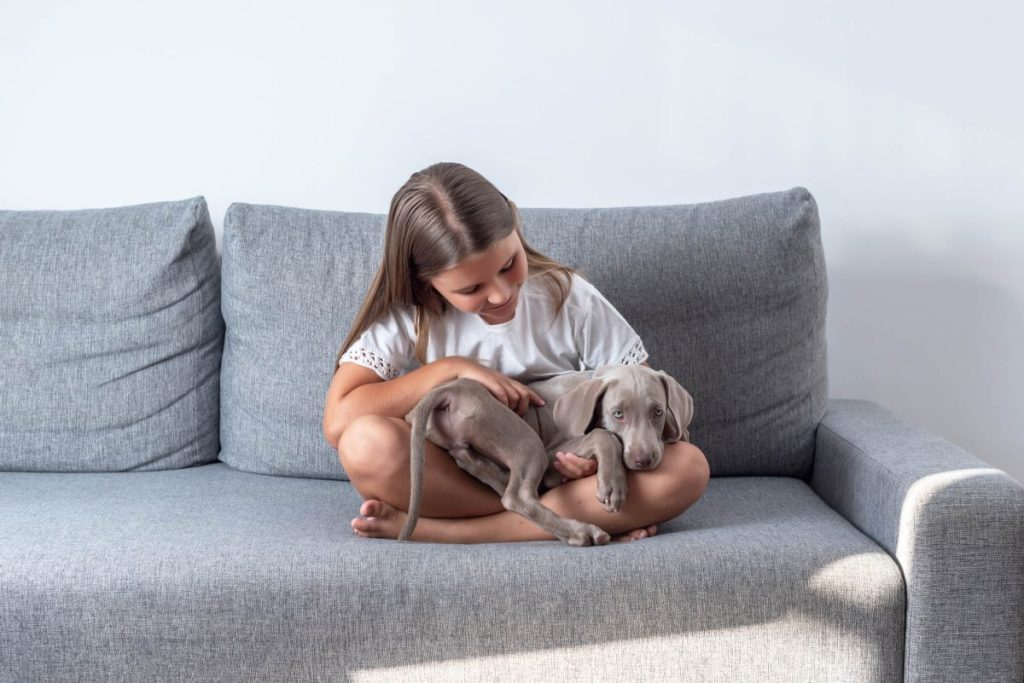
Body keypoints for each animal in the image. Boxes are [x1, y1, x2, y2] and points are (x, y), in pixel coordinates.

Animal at [399, 366, 696, 548]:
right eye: (618, 414)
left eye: (658, 412)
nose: (642, 460)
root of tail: (451, 390)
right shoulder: (556, 451)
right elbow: (603, 435)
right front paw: (613, 486)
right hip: (528, 441)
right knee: (517, 497)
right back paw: (581, 531)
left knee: (473, 462)